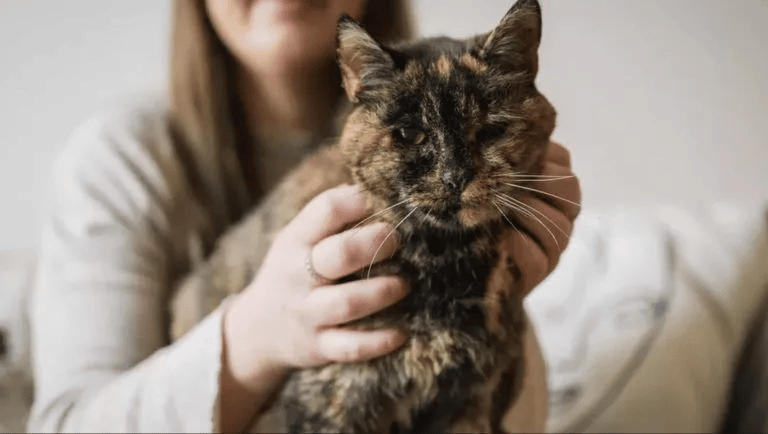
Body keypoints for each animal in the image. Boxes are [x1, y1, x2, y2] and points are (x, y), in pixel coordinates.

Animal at [170, 1, 552, 432]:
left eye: (490, 131)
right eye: (410, 134)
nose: (455, 177)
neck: (445, 261)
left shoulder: (471, 401)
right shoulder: (331, 400)